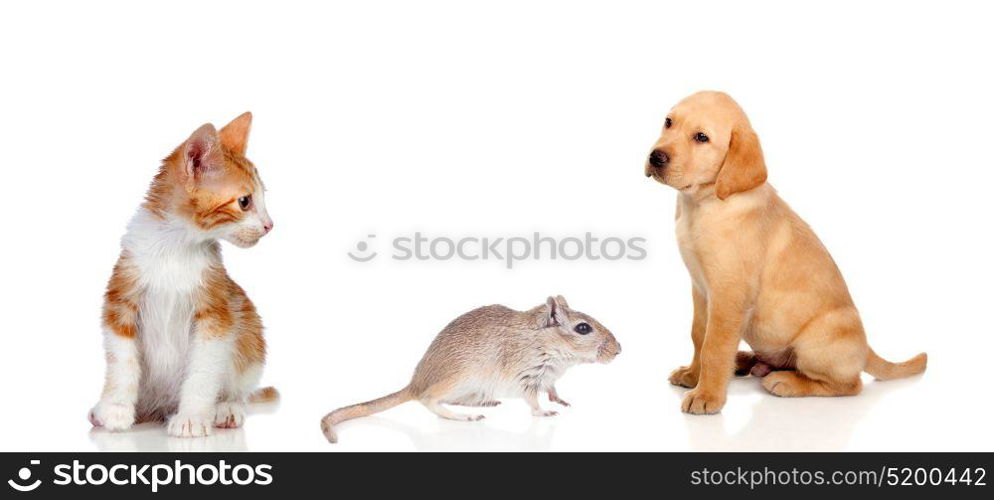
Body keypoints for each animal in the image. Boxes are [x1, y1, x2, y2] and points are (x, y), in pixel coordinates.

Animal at [89, 113, 278, 438]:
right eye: (245, 201)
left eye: (262, 198)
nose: (269, 225)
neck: (175, 246)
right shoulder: (121, 297)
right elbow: (121, 360)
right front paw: (115, 409)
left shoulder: (216, 311)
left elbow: (203, 369)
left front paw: (192, 416)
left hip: (250, 334)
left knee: (241, 388)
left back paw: (226, 408)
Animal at [644, 91, 924, 414]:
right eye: (668, 122)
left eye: (701, 137)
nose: (655, 157)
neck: (702, 203)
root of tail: (867, 349)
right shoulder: (700, 289)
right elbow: (699, 335)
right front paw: (693, 375)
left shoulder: (728, 296)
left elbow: (714, 347)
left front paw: (707, 396)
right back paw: (743, 361)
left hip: (817, 343)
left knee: (849, 384)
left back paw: (786, 382)